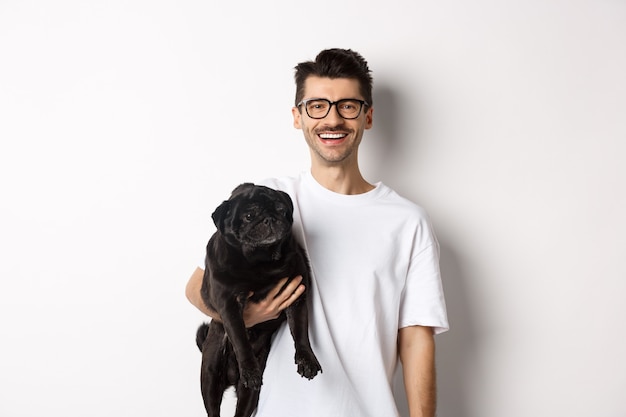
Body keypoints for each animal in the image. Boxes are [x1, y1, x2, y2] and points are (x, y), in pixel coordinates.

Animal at [195, 183, 322, 416]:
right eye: (248, 216)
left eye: (281, 210)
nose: (270, 218)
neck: (261, 261)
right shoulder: (229, 305)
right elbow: (239, 338)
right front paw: (250, 369)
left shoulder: (297, 296)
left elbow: (300, 331)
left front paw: (307, 359)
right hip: (210, 377)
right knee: (212, 408)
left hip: (249, 396)